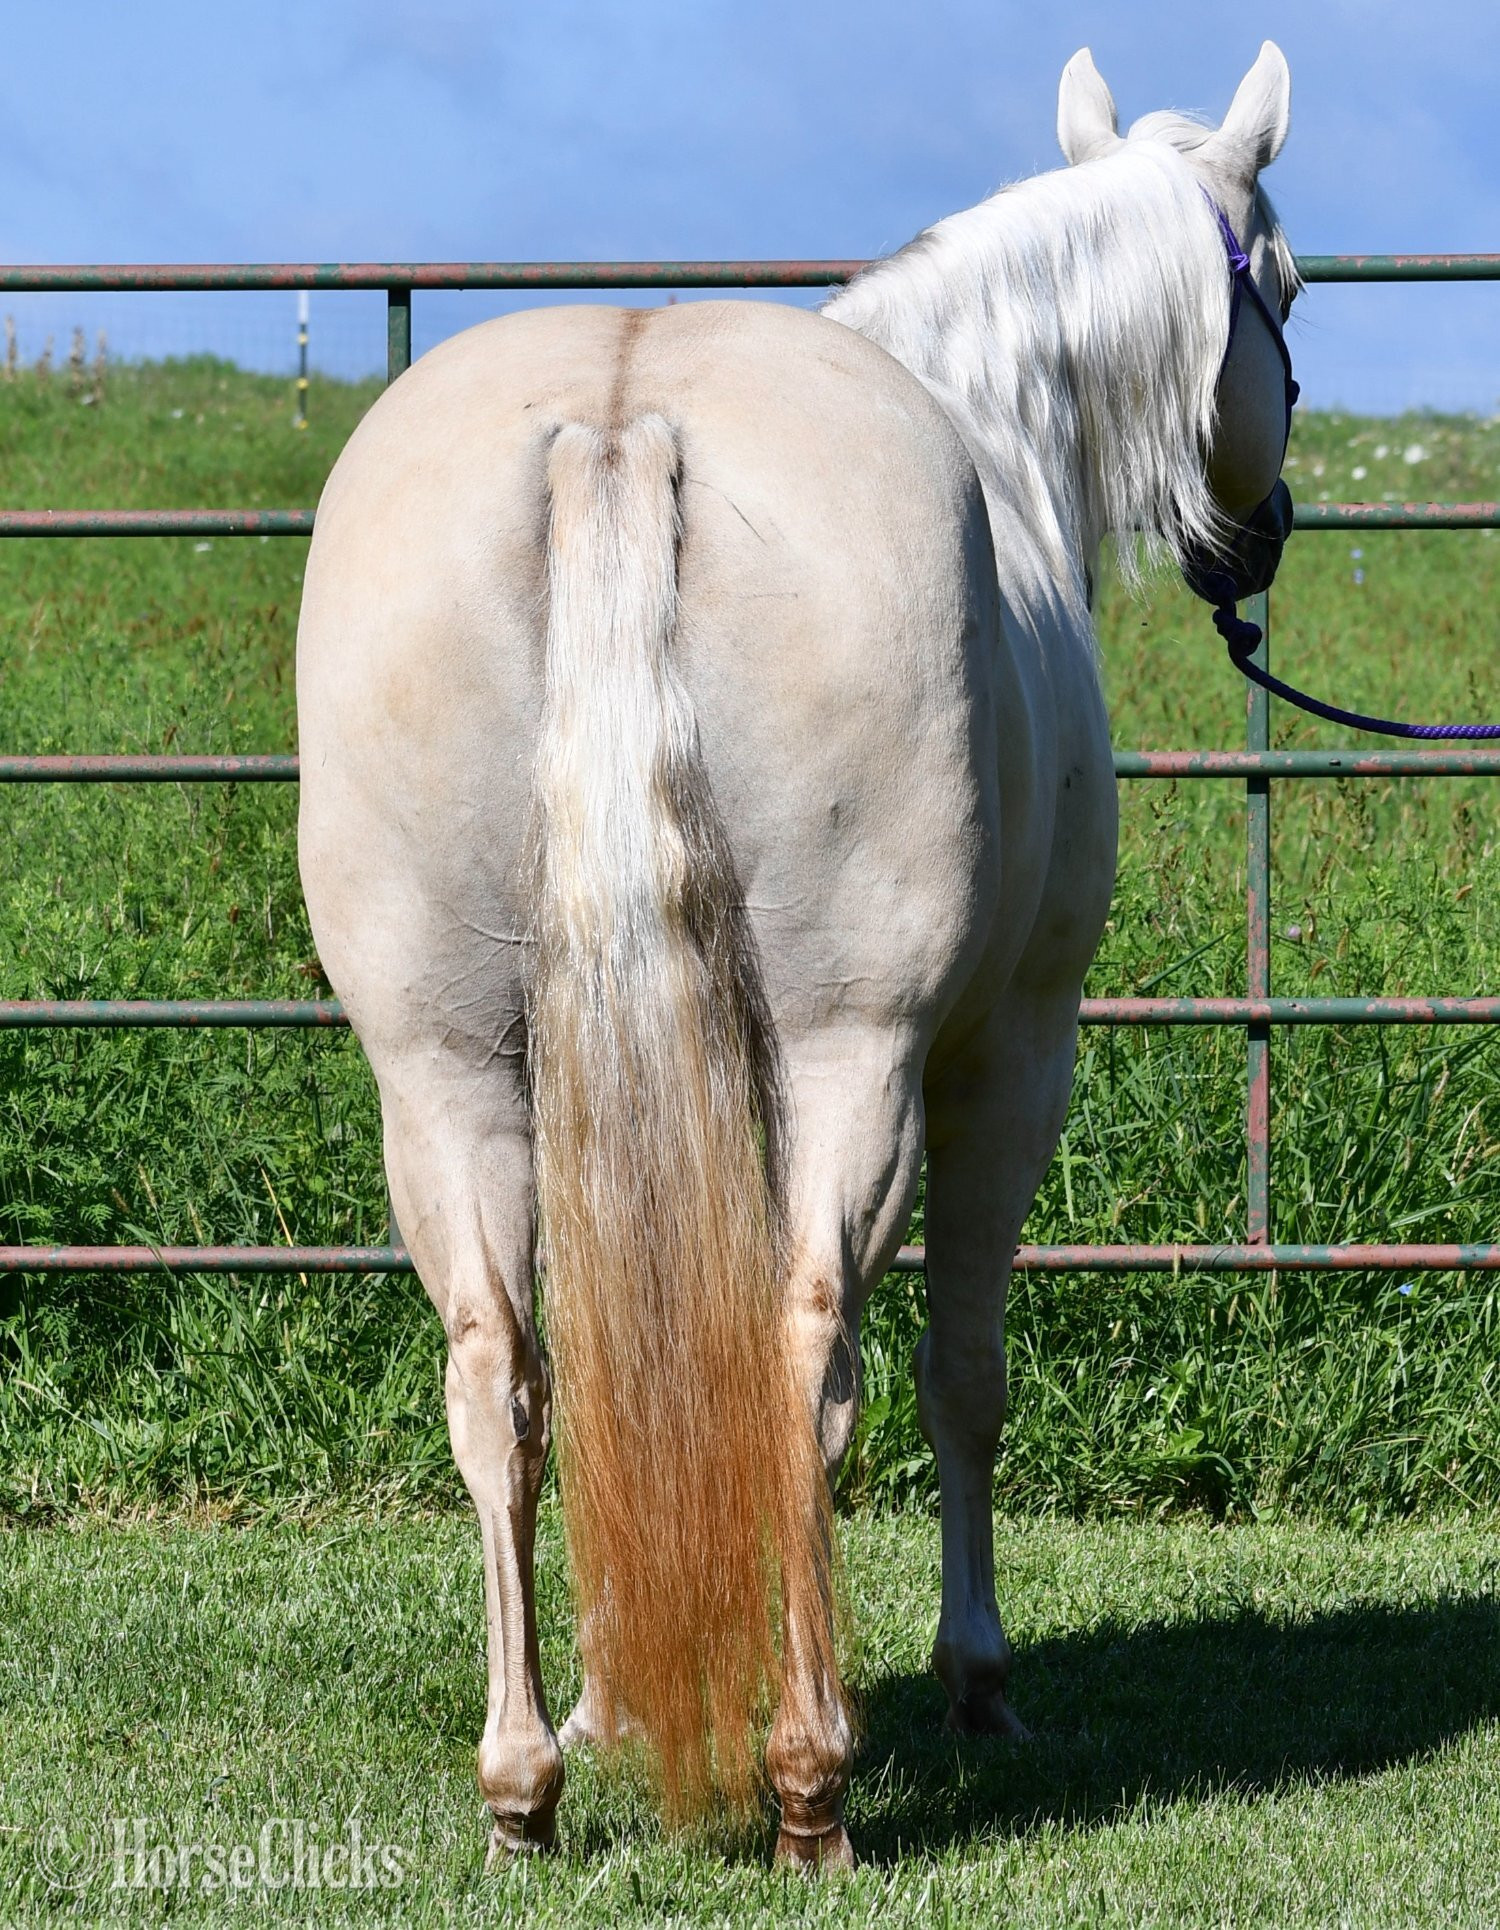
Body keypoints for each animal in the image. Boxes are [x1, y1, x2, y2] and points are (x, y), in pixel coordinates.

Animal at [296, 43, 1298, 1868]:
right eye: (1286, 283)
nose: (1253, 548)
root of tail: (619, 425)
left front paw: (617, 1700)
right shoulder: (1008, 1055)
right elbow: (964, 1375)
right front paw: (979, 1676)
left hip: (444, 1068)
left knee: (502, 1373)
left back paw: (527, 1779)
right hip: (856, 1052)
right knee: (805, 1343)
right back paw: (810, 1773)